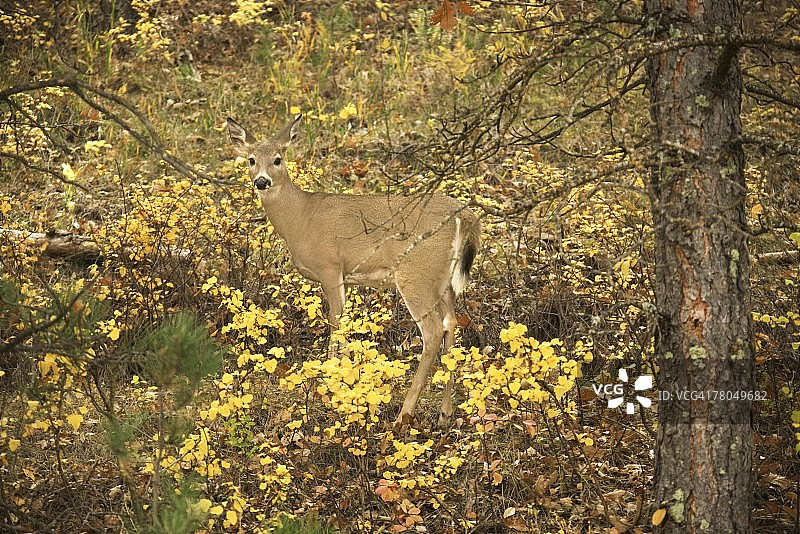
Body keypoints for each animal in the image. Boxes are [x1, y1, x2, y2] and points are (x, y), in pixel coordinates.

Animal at [226, 114, 480, 427]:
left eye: (277, 159)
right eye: (251, 159)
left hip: (415, 272)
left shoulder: (330, 266)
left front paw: (328, 380)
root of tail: (464, 216)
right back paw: (445, 413)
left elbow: (336, 322)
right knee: (451, 324)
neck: (300, 219)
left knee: (433, 331)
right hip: (442, 279)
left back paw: (404, 414)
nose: (262, 181)